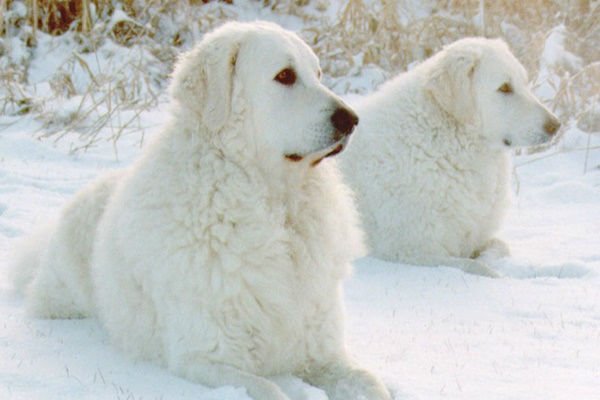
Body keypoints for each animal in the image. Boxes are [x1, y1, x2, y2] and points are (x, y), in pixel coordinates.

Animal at [12, 21, 394, 400]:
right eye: (285, 75)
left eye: (318, 74)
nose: (351, 118)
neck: (277, 212)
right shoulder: (206, 358)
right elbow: (271, 389)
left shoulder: (323, 353)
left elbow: (371, 384)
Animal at [340, 38, 560, 278]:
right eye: (504, 88)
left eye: (524, 83)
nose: (556, 125)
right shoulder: (407, 251)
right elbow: (474, 266)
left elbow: (499, 247)